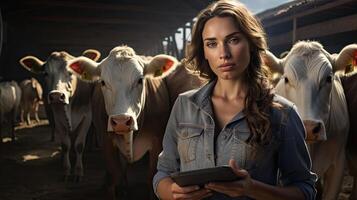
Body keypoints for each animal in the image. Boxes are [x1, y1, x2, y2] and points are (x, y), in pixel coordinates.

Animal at [19, 49, 100, 181]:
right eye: (45, 73)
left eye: (71, 72)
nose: (56, 95)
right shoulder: (58, 119)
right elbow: (66, 145)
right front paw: (66, 170)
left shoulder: (86, 117)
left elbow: (79, 145)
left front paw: (78, 172)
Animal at [67, 45, 206, 200]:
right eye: (102, 82)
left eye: (140, 80)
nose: (121, 121)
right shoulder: (106, 141)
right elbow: (112, 177)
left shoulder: (157, 141)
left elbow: (152, 177)